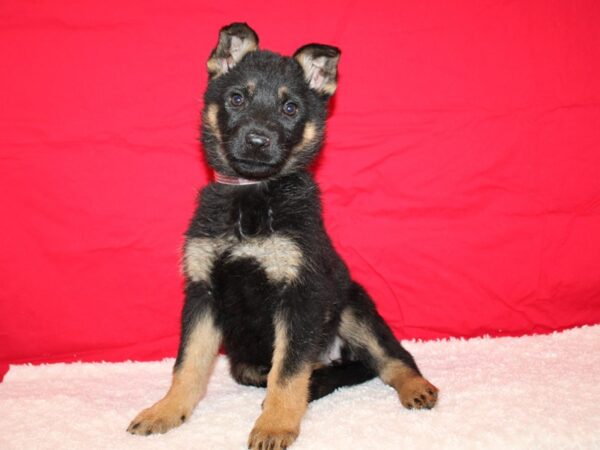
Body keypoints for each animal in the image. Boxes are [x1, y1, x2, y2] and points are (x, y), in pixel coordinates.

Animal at [127, 22, 436, 448]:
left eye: (290, 109)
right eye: (237, 99)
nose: (257, 140)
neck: (252, 195)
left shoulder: (300, 294)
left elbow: (288, 371)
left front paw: (274, 425)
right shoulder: (203, 293)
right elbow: (188, 363)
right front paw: (167, 411)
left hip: (352, 307)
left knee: (390, 358)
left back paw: (415, 386)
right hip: (251, 355)